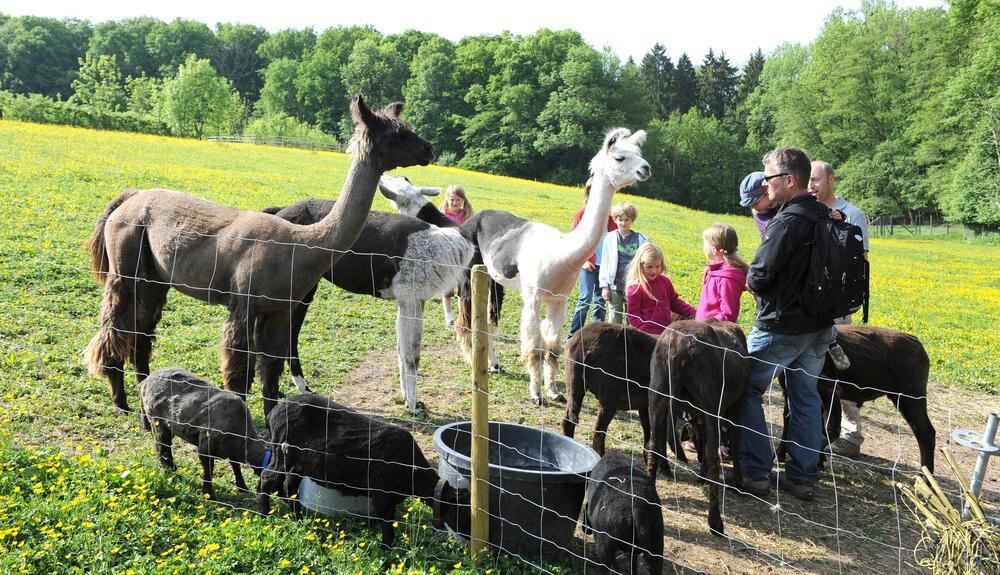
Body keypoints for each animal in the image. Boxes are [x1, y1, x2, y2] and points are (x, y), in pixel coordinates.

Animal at [141, 368, 268, 500]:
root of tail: (146, 380)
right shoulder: (206, 448)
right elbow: (208, 470)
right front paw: (208, 494)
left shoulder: (233, 451)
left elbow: (235, 466)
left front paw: (243, 487)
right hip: (158, 422)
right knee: (162, 449)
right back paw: (173, 475)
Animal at [564, 322, 656, 456]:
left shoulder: (644, 405)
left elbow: (648, 436)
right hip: (609, 397)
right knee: (598, 433)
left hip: (574, 383)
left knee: (569, 420)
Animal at [644, 320, 748, 536]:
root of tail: (677, 344)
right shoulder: (736, 404)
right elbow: (734, 439)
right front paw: (738, 482)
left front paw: (701, 474)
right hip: (711, 402)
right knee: (714, 456)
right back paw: (715, 522)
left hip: (657, 395)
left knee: (653, 445)